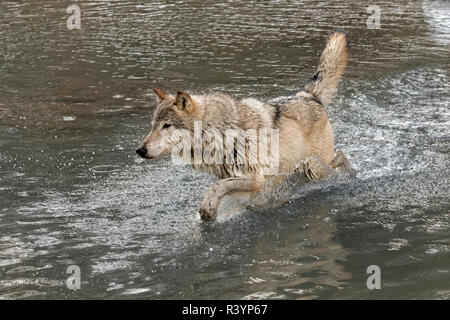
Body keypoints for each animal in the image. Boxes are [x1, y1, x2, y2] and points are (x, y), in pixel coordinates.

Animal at [135, 33, 354, 222]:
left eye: (167, 126)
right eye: (153, 126)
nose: (140, 150)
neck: (220, 132)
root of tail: (307, 94)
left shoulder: (255, 178)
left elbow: (216, 187)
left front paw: (208, 209)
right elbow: (225, 189)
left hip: (314, 165)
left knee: (340, 156)